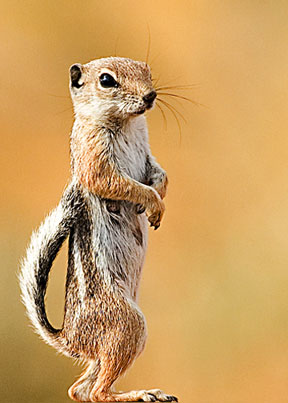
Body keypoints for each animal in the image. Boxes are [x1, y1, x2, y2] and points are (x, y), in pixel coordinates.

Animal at [19, 56, 176, 403]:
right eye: (106, 80)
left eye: (146, 69)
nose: (150, 96)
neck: (128, 123)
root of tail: (69, 338)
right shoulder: (95, 158)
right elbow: (112, 183)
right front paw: (152, 201)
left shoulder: (148, 154)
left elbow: (160, 173)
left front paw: (159, 200)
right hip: (128, 326)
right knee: (97, 393)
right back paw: (138, 394)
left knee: (80, 389)